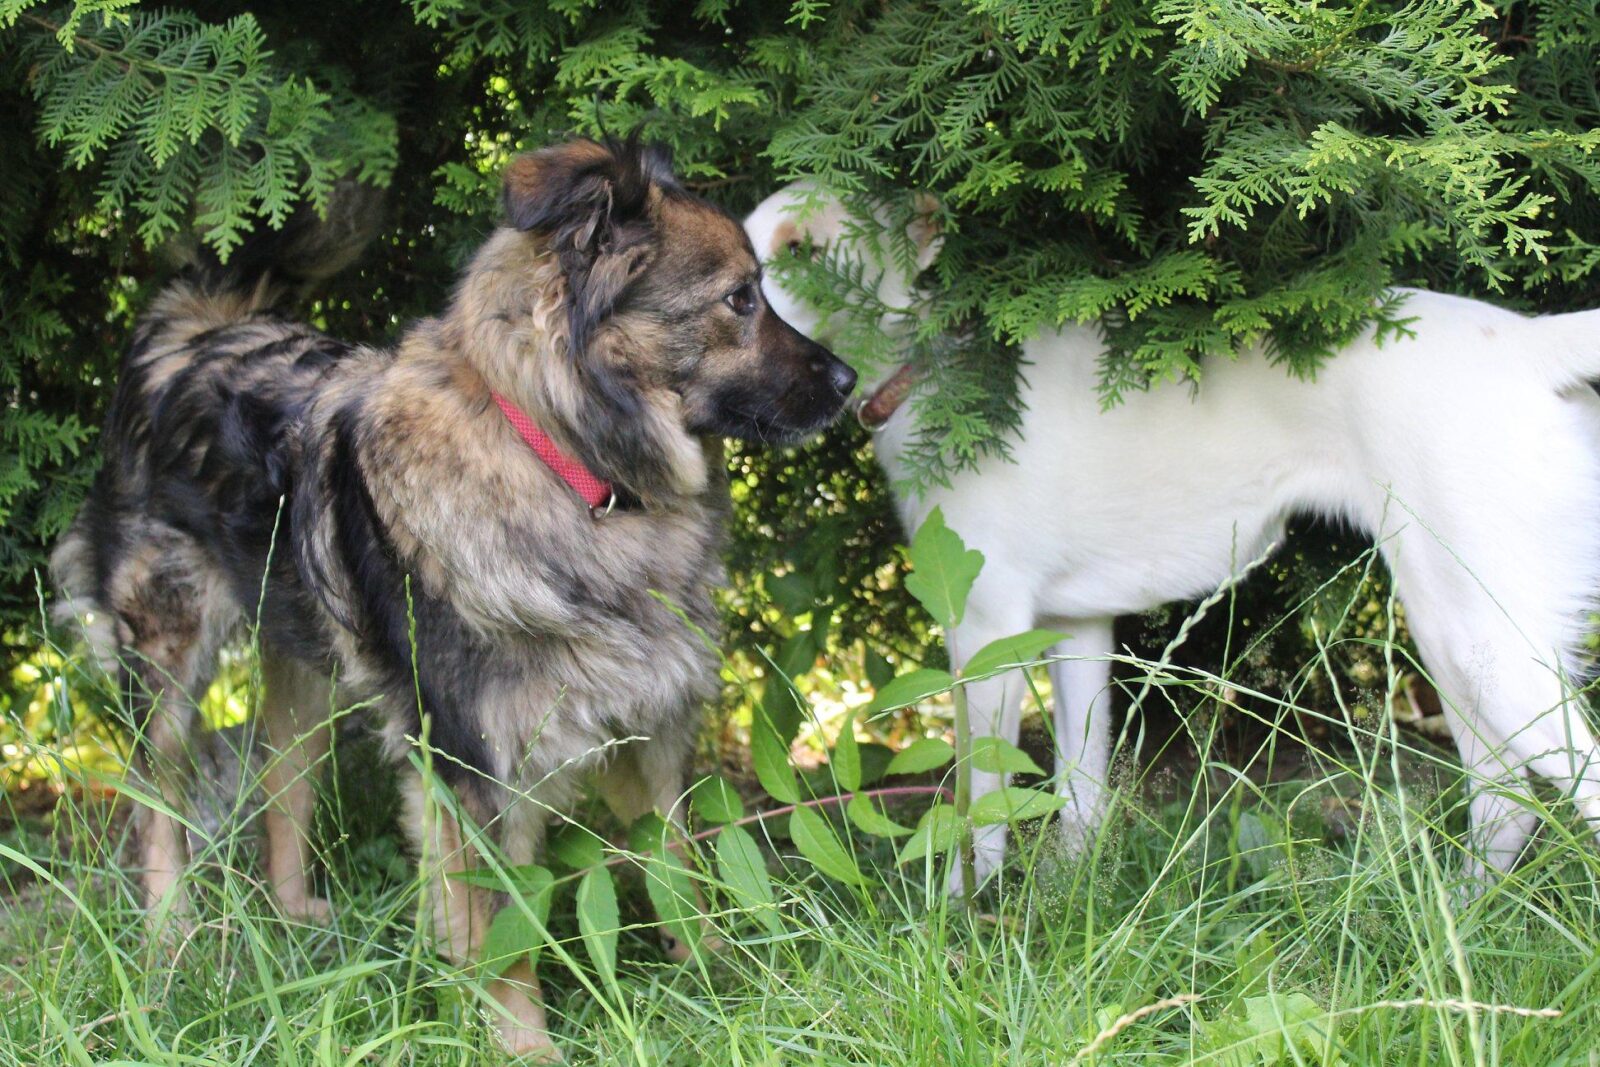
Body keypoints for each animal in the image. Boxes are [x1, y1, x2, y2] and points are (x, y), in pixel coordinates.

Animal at [51, 138, 856, 1058]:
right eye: (739, 298)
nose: (847, 378)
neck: (570, 469)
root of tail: (195, 328)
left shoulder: (648, 725)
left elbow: (680, 868)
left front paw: (722, 984)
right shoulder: (471, 767)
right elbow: (502, 936)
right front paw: (526, 1047)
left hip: (305, 667)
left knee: (284, 786)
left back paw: (294, 920)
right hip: (169, 663)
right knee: (156, 805)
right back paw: (170, 943)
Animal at [747, 182, 1600, 895]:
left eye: (800, 250)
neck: (936, 372)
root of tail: (1525, 343)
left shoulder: (987, 636)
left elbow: (977, 808)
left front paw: (966, 918)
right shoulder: (1078, 632)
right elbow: (1081, 790)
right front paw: (1068, 902)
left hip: (1484, 642)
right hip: (1455, 637)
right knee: (1505, 800)